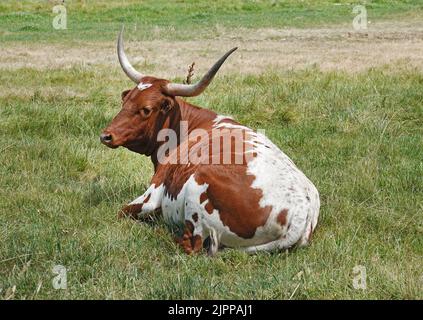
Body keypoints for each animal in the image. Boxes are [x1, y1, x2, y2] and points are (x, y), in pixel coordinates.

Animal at [102, 27, 322, 256]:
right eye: (125, 100)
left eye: (146, 109)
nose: (106, 135)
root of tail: (300, 213)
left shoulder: (151, 194)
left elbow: (122, 212)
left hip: (196, 193)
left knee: (191, 245)